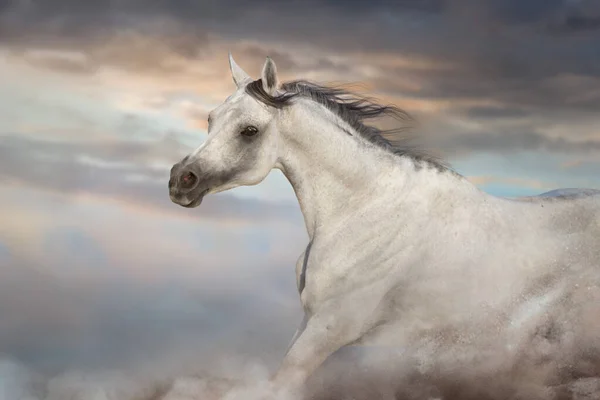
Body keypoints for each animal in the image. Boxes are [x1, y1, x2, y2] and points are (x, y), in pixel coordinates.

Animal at [168, 54, 600, 398]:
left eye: (249, 130)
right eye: (211, 119)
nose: (180, 181)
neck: (366, 209)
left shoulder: (331, 328)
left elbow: (280, 382)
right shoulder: (310, 321)